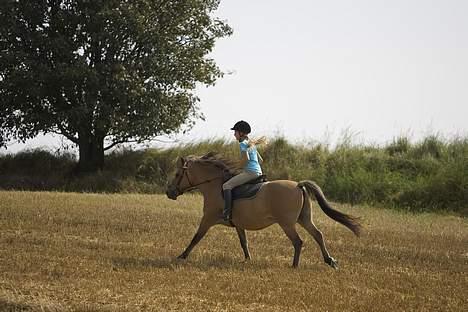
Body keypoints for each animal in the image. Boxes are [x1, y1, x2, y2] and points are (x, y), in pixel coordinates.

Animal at [165, 152, 362, 266]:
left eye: (177, 174)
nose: (169, 192)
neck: (215, 185)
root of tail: (298, 185)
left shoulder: (207, 219)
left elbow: (196, 238)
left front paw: (181, 256)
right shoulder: (239, 225)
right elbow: (243, 242)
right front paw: (247, 259)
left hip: (287, 224)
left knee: (298, 241)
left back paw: (294, 265)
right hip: (304, 219)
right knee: (318, 235)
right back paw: (330, 261)